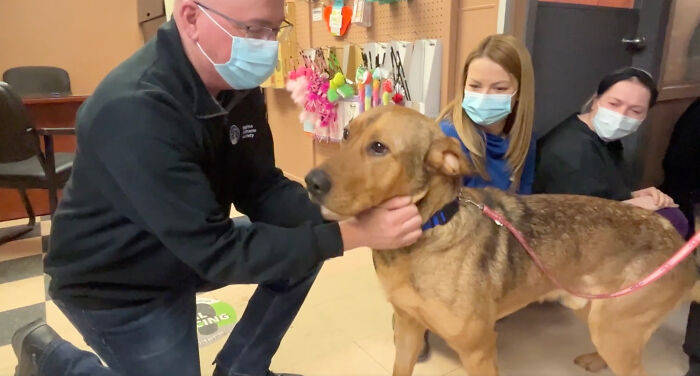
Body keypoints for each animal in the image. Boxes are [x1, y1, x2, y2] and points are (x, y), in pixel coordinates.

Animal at [306, 106, 700, 376]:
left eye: (378, 148)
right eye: (346, 133)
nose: (311, 181)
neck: (429, 229)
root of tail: (679, 247)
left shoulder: (478, 351)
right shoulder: (407, 329)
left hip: (615, 329)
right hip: (598, 313)